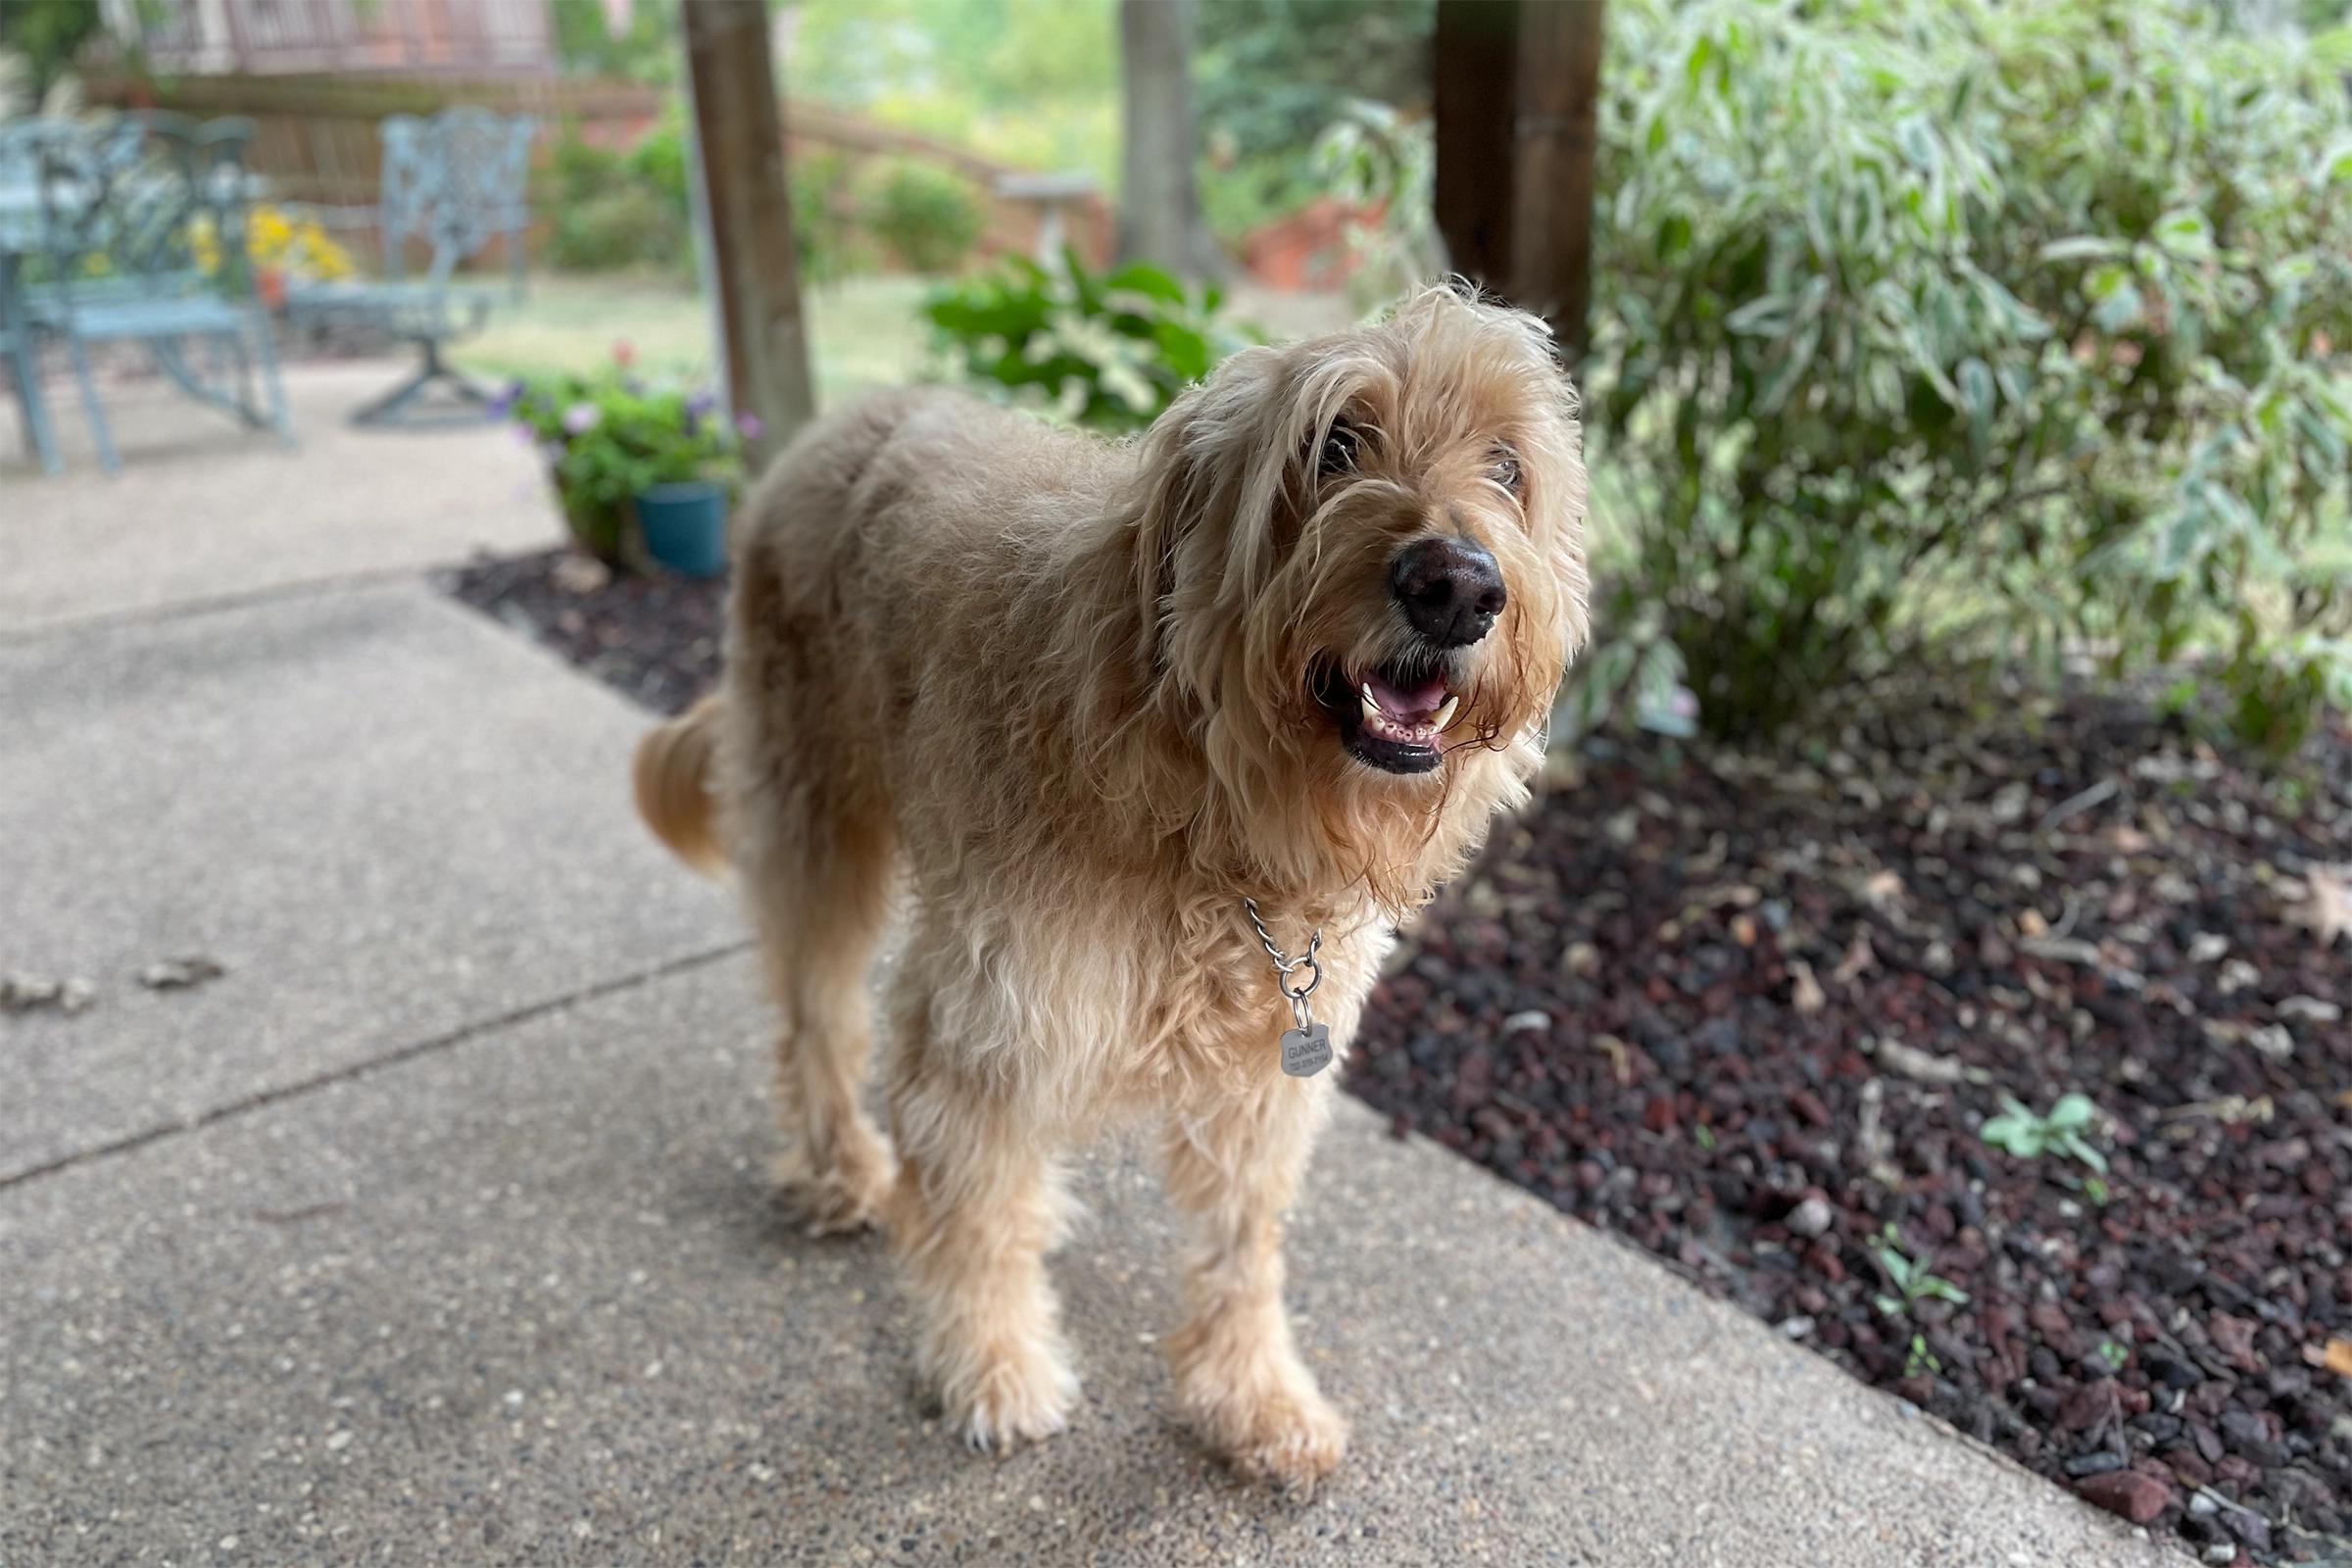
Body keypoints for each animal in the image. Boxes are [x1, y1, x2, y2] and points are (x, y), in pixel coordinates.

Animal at [635, 285, 1590, 1494]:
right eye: (1334, 444)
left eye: (1507, 465)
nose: (1457, 585)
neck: (1214, 811)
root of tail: (831, 427)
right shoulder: (991, 1023)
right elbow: (980, 1217)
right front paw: (993, 1364)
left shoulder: (1272, 1073)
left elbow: (1241, 1249)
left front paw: (1251, 1394)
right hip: (816, 823)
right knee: (815, 1017)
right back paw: (841, 1166)